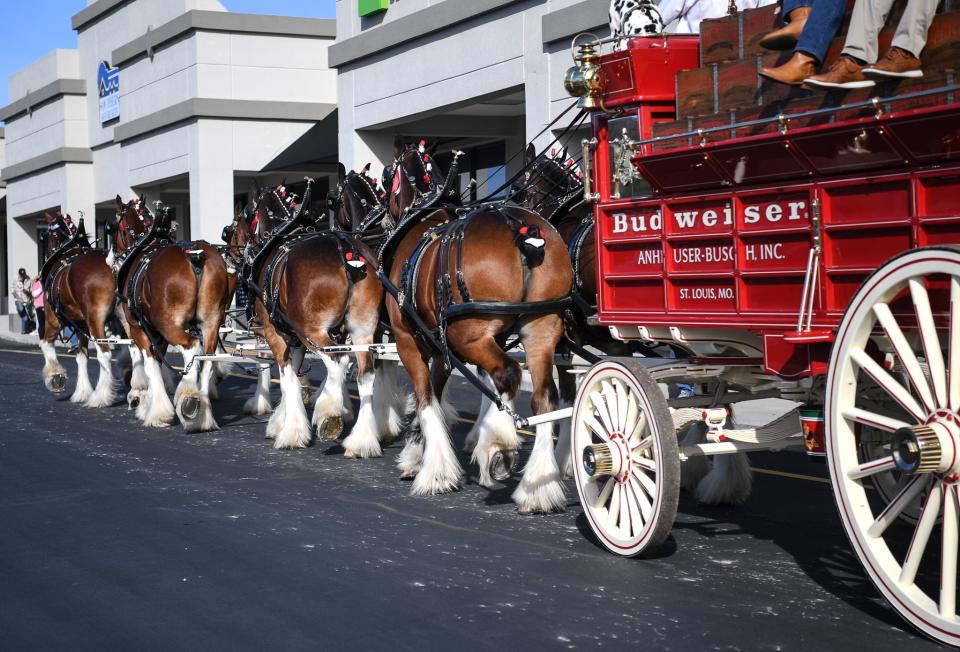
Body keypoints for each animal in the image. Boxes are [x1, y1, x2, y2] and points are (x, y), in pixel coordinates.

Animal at [38, 213, 120, 408]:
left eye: (44, 236)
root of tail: (112, 267)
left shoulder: (53, 319)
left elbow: (46, 344)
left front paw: (55, 377)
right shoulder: (81, 324)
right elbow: (81, 356)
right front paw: (82, 392)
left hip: (95, 320)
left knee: (105, 354)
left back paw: (101, 396)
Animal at [112, 199, 231, 432]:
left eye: (114, 228)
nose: (110, 257)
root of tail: (195, 256)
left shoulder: (140, 328)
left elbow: (150, 365)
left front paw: (155, 411)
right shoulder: (158, 334)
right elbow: (158, 362)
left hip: (168, 324)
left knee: (192, 346)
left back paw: (188, 396)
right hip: (211, 322)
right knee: (207, 359)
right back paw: (202, 415)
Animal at [246, 181, 404, 454]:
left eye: (248, 216)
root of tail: (347, 252)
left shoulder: (274, 331)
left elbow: (288, 377)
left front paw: (292, 431)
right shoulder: (297, 336)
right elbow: (294, 373)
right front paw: (283, 421)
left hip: (313, 330)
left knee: (336, 360)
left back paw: (329, 412)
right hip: (362, 330)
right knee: (365, 373)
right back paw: (362, 440)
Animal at [382, 140, 572, 512]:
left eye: (386, 178)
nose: (385, 216)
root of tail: (524, 232)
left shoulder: (408, 340)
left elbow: (426, 398)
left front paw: (434, 471)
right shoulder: (441, 345)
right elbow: (436, 391)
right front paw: (416, 452)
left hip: (470, 335)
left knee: (507, 374)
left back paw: (498, 444)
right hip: (540, 329)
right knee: (544, 397)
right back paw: (537, 487)